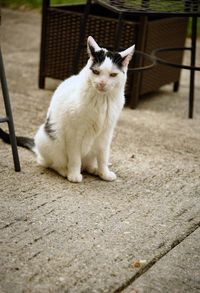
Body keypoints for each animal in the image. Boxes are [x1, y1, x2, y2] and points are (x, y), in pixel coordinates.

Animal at [0, 36, 134, 182]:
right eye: (96, 72)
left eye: (113, 75)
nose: (102, 83)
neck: (102, 101)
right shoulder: (74, 134)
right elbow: (75, 158)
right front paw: (74, 175)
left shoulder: (106, 133)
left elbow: (103, 156)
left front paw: (104, 173)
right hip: (49, 139)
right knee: (51, 163)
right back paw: (65, 171)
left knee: (88, 162)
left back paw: (94, 169)